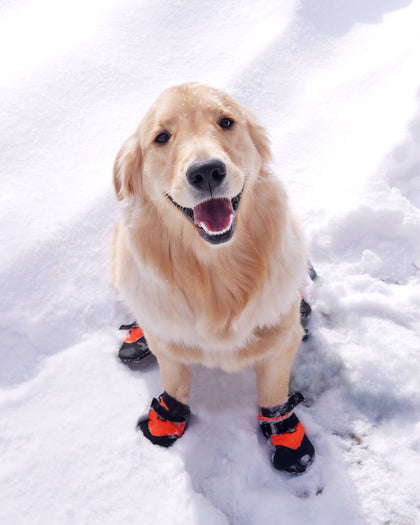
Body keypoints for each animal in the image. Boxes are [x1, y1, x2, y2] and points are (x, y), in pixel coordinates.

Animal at [111, 84, 316, 472]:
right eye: (162, 137)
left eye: (226, 122)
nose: (206, 172)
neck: (216, 273)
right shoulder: (167, 342)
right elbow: (175, 383)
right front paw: (167, 420)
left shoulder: (282, 336)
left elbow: (274, 392)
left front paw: (286, 437)